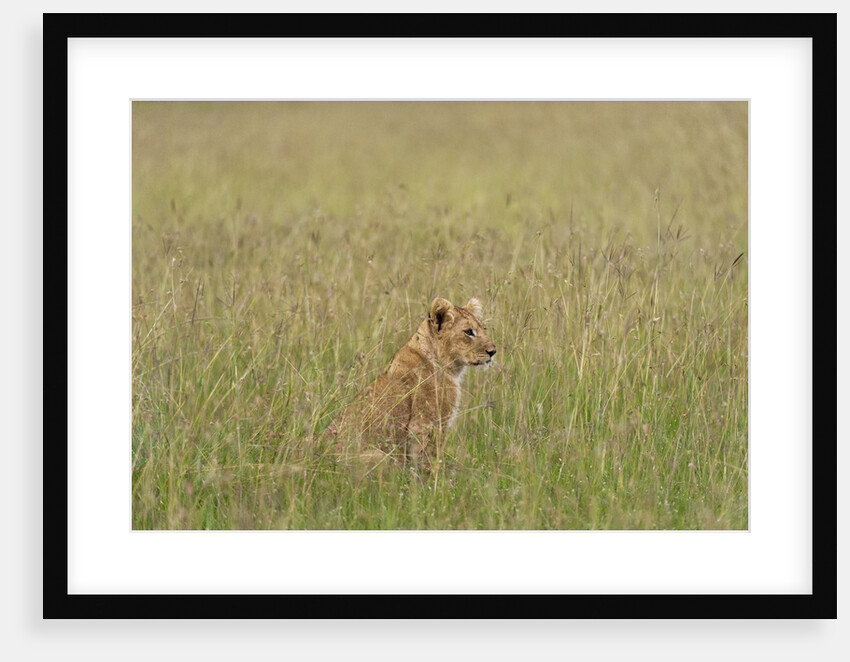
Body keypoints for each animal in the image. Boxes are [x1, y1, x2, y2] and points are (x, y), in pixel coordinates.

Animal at [322, 296, 496, 469]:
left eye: (484, 328)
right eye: (468, 332)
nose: (493, 351)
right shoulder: (423, 423)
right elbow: (428, 458)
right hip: (381, 456)